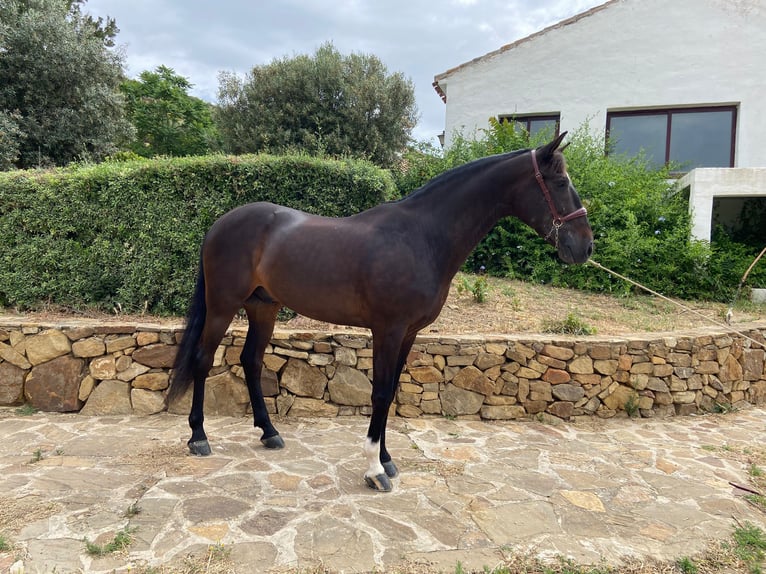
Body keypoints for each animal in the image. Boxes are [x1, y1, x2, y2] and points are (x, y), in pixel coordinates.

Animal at [167, 132, 593, 491]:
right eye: (559, 182)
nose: (585, 247)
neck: (422, 237)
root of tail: (220, 224)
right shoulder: (387, 330)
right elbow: (380, 392)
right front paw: (374, 470)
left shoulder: (409, 333)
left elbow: (391, 393)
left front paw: (386, 459)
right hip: (222, 306)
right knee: (204, 360)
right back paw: (198, 437)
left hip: (263, 308)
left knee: (251, 361)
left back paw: (269, 433)